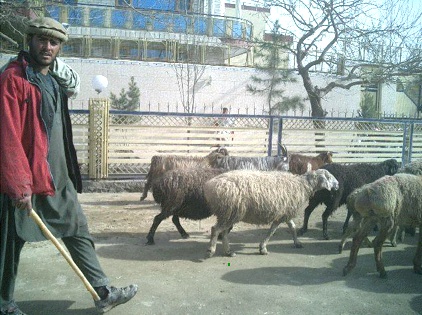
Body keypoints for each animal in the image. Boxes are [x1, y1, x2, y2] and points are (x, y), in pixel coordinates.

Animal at [203, 169, 338, 258]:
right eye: (329, 177)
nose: (338, 185)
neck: (302, 185)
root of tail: (211, 185)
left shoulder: (285, 212)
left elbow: (293, 227)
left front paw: (297, 242)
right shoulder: (280, 215)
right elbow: (272, 231)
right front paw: (263, 248)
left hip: (229, 213)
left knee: (223, 232)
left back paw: (228, 252)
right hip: (231, 211)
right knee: (216, 229)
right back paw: (211, 250)